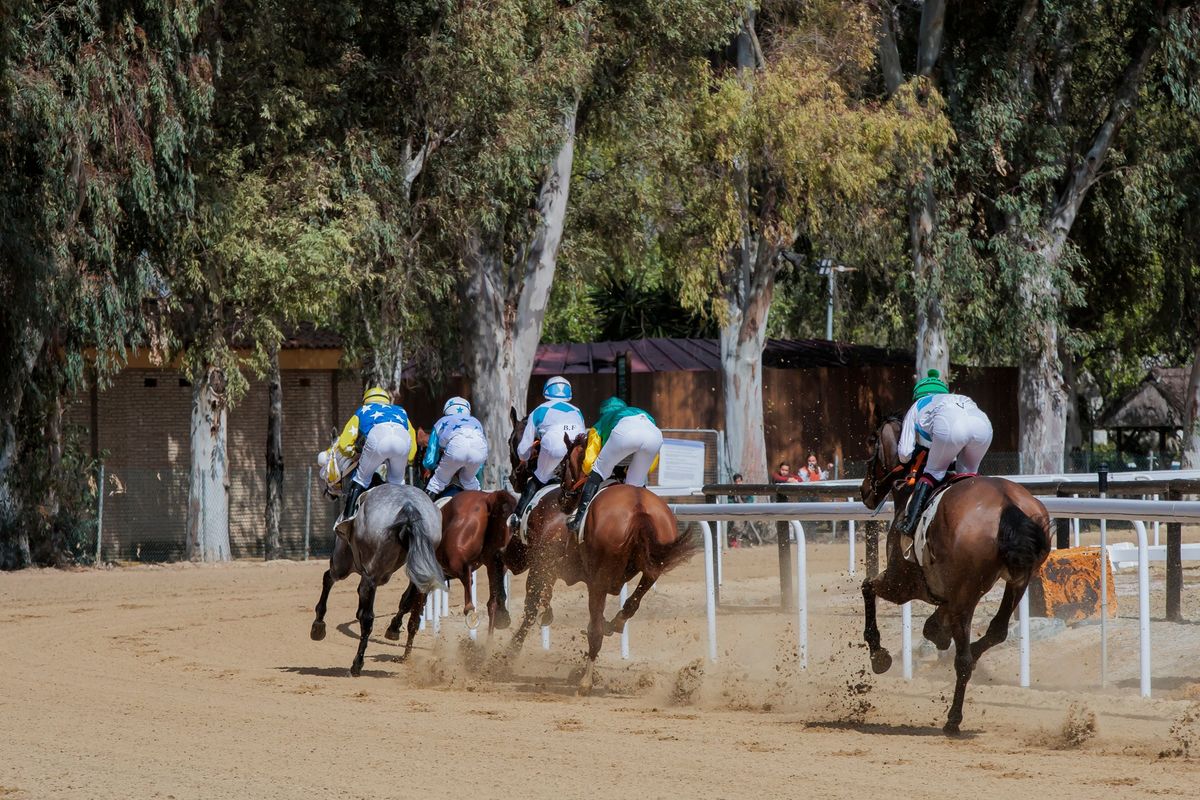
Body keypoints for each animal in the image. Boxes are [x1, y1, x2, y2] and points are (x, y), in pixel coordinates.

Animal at [864, 417, 1051, 734]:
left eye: (872, 449)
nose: (865, 491)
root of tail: (1008, 505)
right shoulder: (949, 591)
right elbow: (940, 620)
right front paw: (936, 631)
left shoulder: (902, 581)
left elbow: (867, 586)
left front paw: (879, 655)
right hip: (1019, 580)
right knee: (997, 630)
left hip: (965, 589)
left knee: (963, 660)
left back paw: (953, 718)